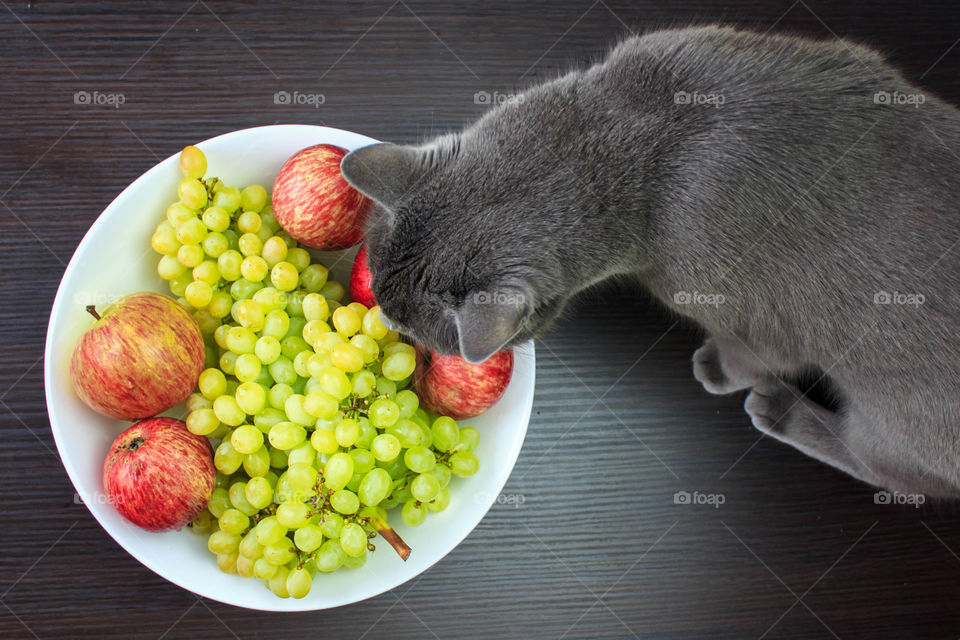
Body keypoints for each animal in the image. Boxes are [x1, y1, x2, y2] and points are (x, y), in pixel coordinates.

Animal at [342, 26, 960, 500]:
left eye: (405, 325)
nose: (386, 326)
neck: (629, 138)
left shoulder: (756, 316)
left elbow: (756, 353)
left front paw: (720, 369)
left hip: (899, 415)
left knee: (896, 474)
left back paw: (783, 411)